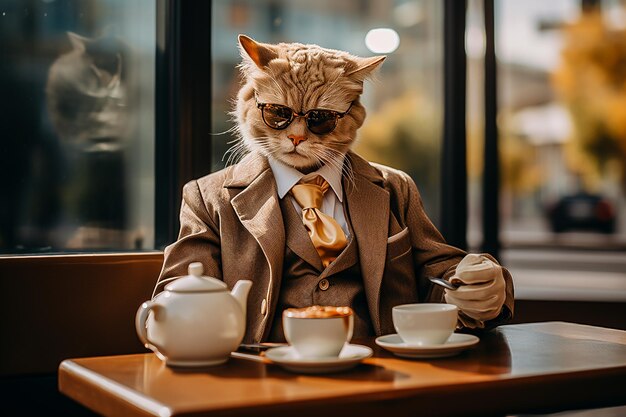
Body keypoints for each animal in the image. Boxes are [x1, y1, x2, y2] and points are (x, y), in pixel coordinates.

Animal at [156, 35, 512, 342]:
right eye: (278, 113)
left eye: (320, 118)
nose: (296, 137)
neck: (306, 179)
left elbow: (442, 265)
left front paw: (482, 289)